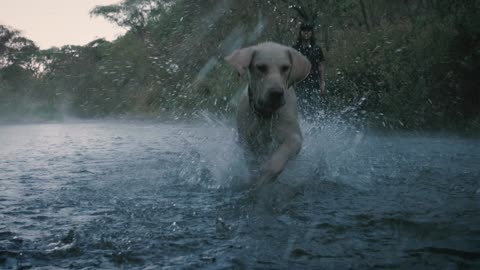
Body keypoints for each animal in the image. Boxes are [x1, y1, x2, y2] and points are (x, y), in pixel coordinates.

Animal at [226, 42, 312, 187]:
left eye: (285, 68)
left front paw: (268, 173)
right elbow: (252, 163)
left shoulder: (293, 135)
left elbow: (283, 153)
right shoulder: (247, 142)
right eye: (261, 67)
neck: (265, 115)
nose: (276, 93)